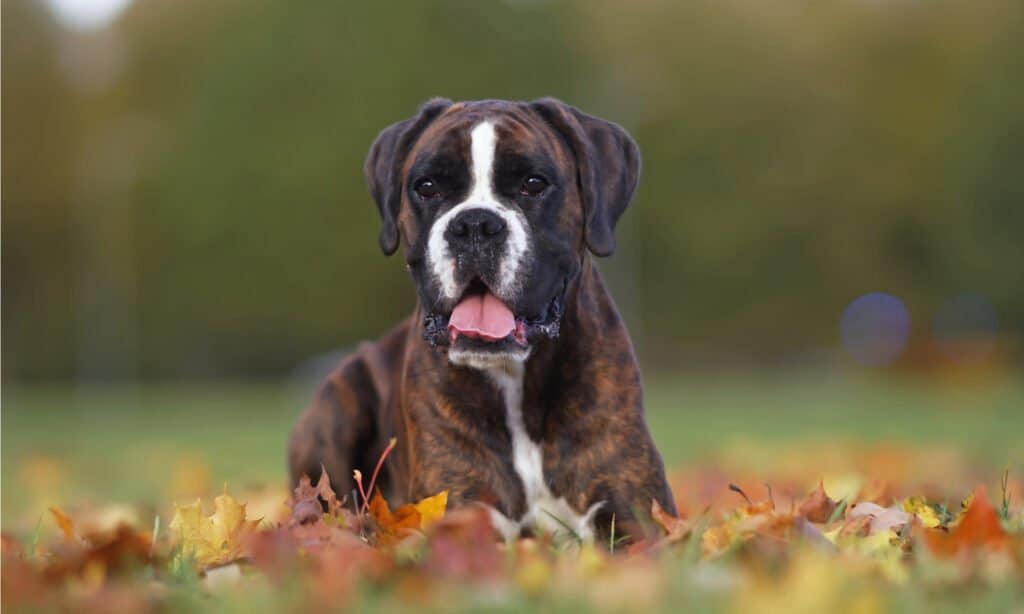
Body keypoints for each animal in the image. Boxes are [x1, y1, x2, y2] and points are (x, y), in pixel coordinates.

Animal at [288, 97, 675, 540]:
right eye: (427, 186)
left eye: (533, 183)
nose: (474, 223)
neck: (516, 382)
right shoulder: (460, 510)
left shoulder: (635, 515)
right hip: (338, 402)